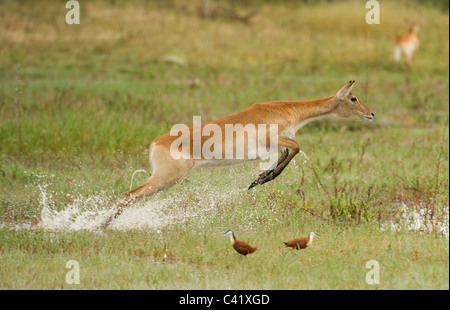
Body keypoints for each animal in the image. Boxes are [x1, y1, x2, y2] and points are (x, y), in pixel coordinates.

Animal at [103, 79, 374, 228]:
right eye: (353, 98)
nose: (371, 113)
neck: (287, 110)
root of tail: (155, 142)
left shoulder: (279, 144)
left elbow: (288, 152)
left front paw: (260, 178)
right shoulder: (275, 138)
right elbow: (296, 148)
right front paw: (261, 179)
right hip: (166, 178)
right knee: (128, 195)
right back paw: (100, 226)